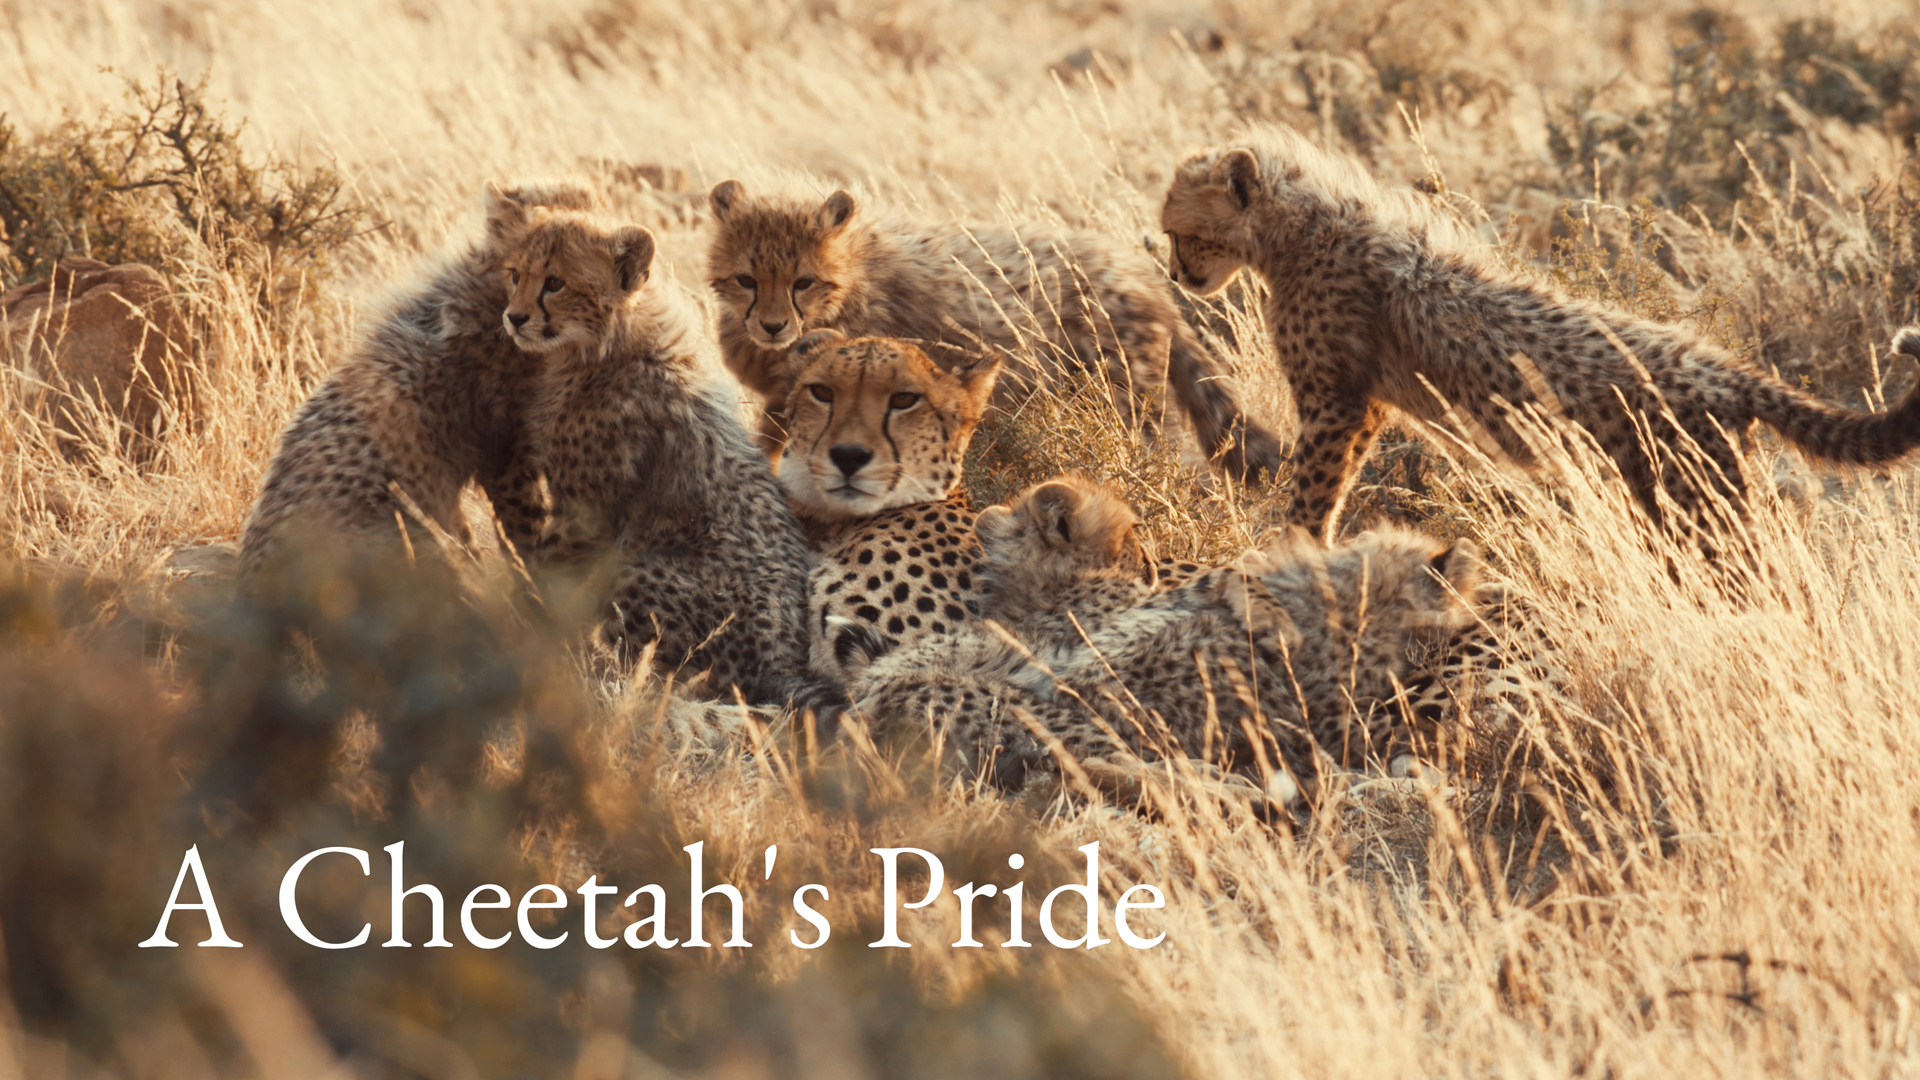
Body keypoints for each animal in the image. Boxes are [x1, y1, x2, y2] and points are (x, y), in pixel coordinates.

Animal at [498, 202, 839, 714]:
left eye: (555, 282)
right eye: (516, 274)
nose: (514, 318)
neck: (605, 345)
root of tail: (780, 659)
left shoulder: (583, 513)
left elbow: (548, 574)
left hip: (631, 567)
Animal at [705, 177, 1285, 480]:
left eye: (802, 282)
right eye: (746, 280)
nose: (774, 326)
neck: (850, 279)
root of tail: (1143, 275)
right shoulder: (783, 399)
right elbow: (767, 447)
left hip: (1127, 403)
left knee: (1171, 459)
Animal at [1160, 123, 1920, 544]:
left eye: (1179, 231)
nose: (1174, 275)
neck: (1296, 228)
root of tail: (1718, 366)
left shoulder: (1335, 401)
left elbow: (1313, 488)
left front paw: (1288, 552)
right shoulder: (1366, 404)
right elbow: (1334, 480)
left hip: (1695, 503)